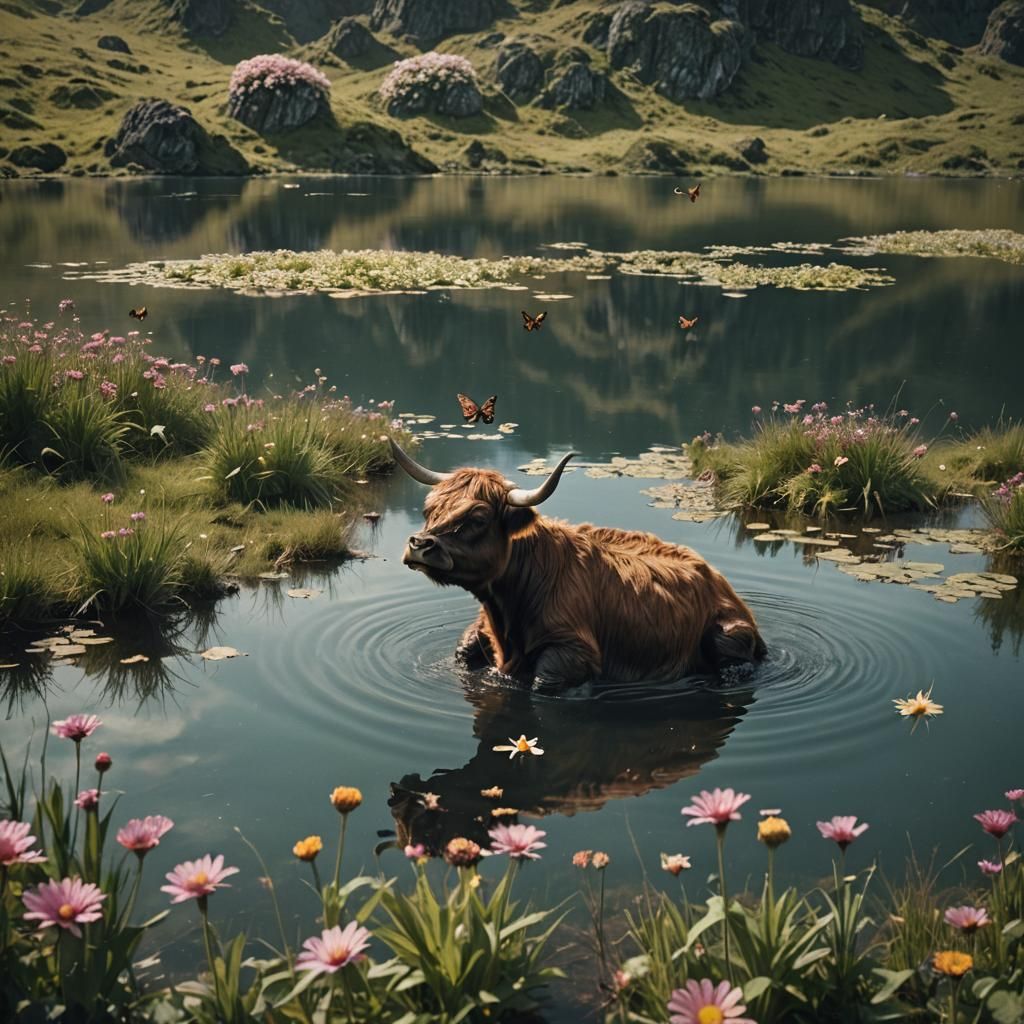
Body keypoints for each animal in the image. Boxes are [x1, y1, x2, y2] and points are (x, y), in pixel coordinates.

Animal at [392, 440, 766, 689]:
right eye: (428, 508)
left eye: (478, 518)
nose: (419, 545)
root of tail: (719, 580)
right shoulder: (480, 632)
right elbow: (464, 648)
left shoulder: (571, 654)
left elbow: (546, 679)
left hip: (726, 634)